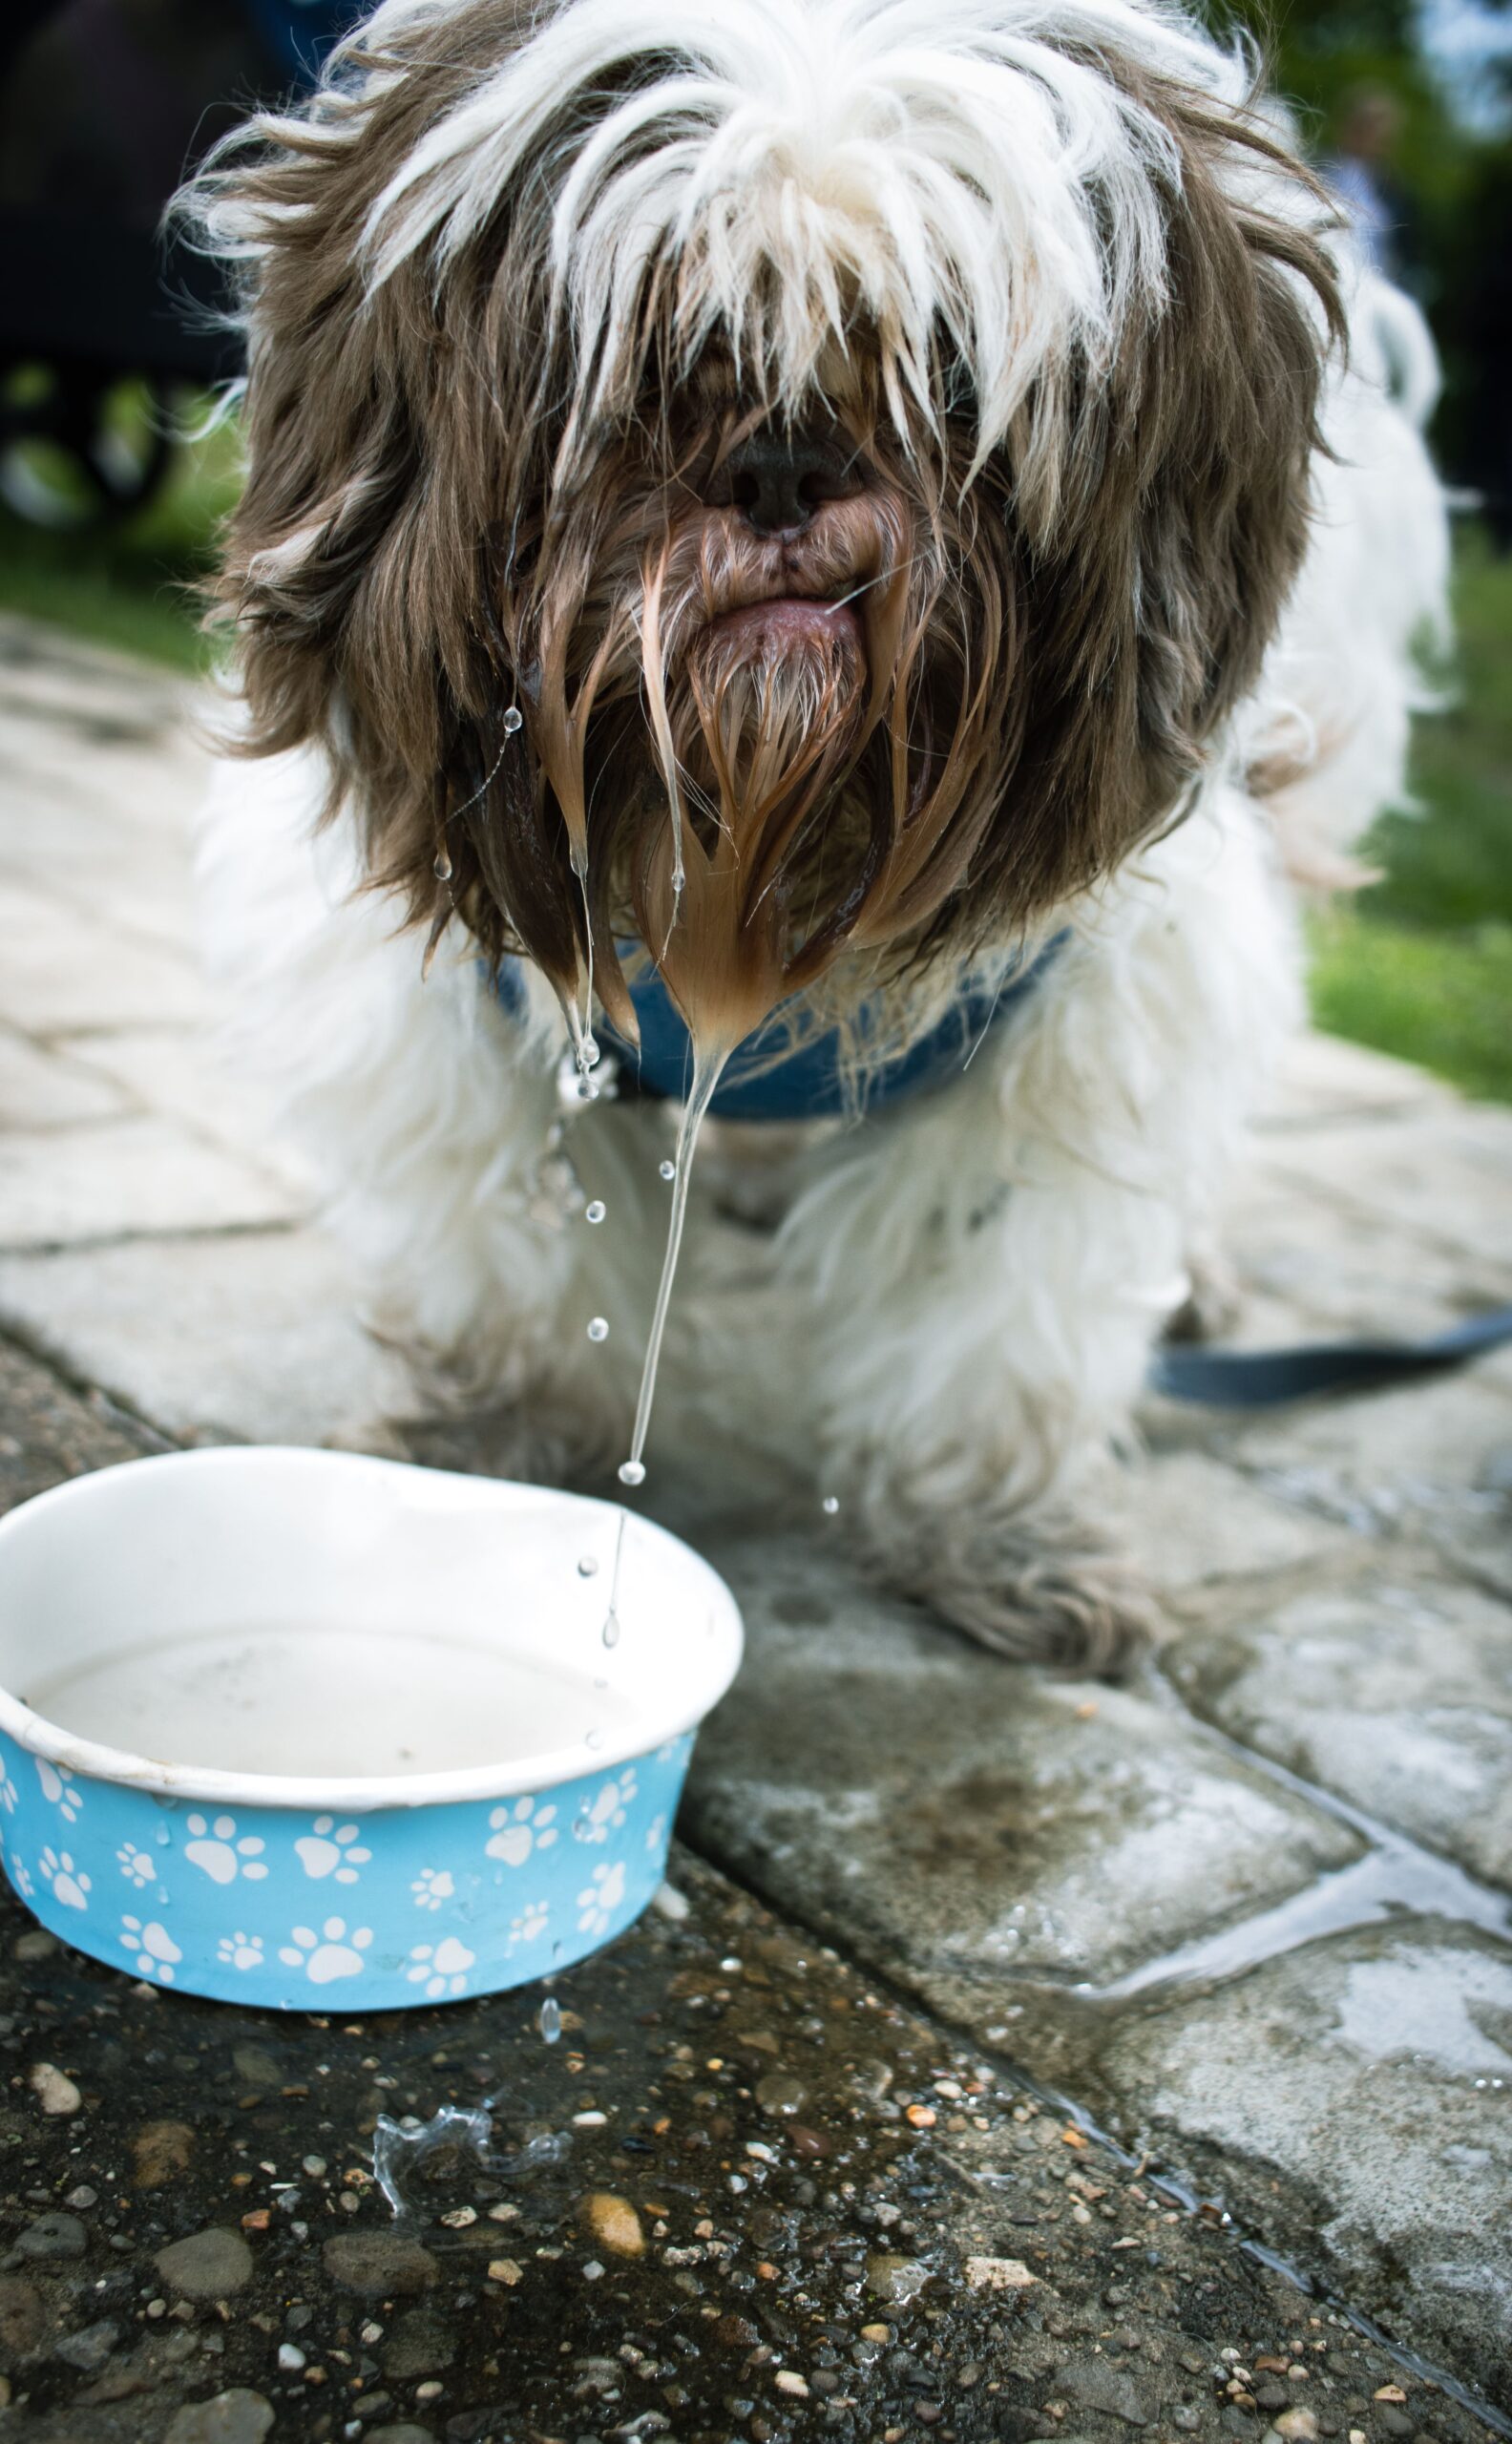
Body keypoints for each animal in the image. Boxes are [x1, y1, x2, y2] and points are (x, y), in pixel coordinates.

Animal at [182, 0, 1445, 1672]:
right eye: (660, 354)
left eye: (950, 375)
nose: (784, 459)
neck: (761, 841)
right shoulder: (468, 995)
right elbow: (502, 1240)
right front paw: (491, 1437)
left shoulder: (1070, 1024)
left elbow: (999, 1300)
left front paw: (997, 1529)